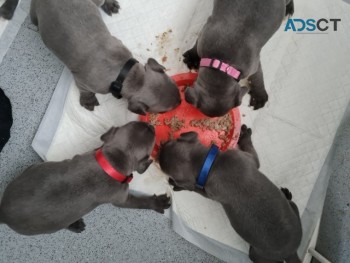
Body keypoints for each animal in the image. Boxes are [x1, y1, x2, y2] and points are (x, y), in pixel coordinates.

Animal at [0, 122, 170, 236]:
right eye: (152, 133)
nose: (151, 124)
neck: (112, 162)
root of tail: (4, 214)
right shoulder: (122, 199)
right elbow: (140, 202)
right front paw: (157, 202)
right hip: (50, 226)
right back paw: (75, 225)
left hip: (32, 169)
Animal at [29, 0, 180, 113]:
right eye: (164, 111)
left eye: (175, 84)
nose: (180, 101)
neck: (125, 74)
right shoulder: (83, 82)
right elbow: (85, 91)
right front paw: (88, 100)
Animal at [160, 126, 302, 263]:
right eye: (168, 143)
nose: (159, 150)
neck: (212, 164)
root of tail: (291, 253)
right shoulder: (246, 159)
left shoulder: (209, 192)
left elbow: (194, 188)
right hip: (294, 211)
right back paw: (286, 194)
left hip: (257, 255)